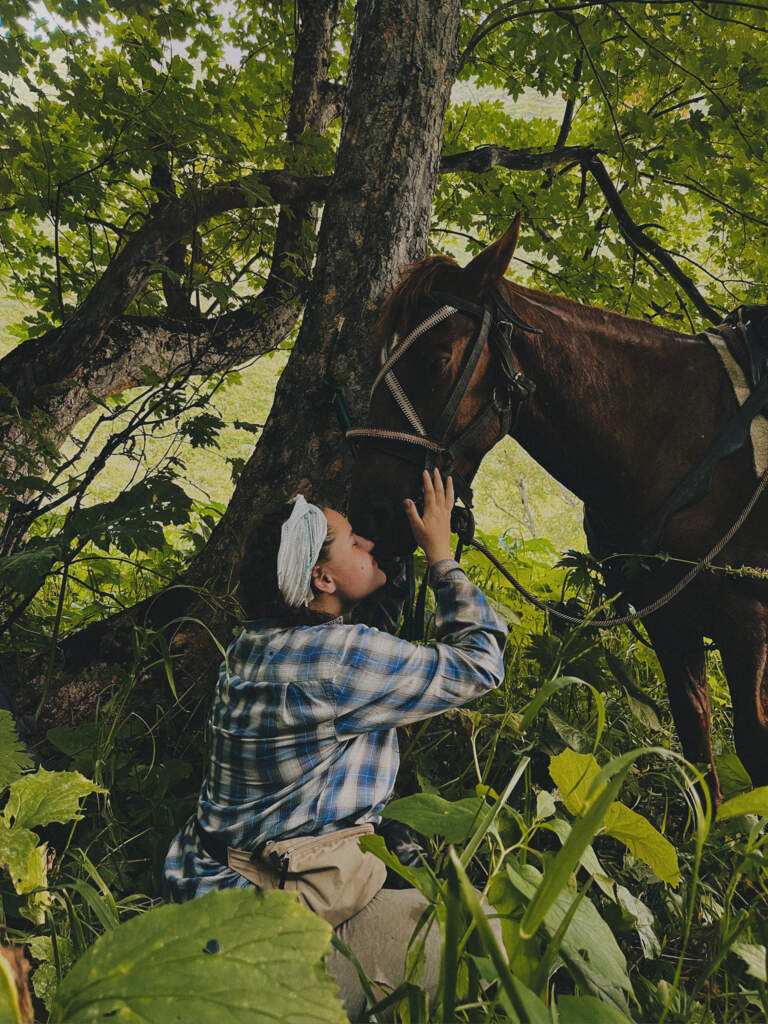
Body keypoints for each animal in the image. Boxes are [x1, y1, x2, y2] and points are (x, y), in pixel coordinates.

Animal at [350, 218, 768, 806]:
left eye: (436, 358)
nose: (368, 510)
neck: (687, 436)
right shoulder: (668, 616)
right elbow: (696, 750)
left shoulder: (745, 621)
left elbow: (754, 747)